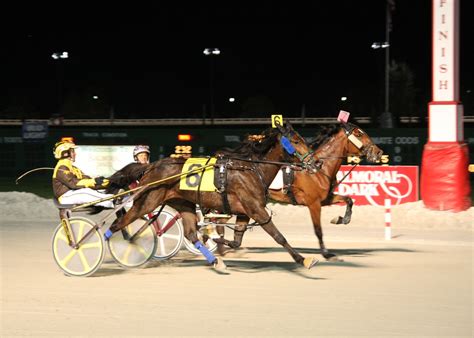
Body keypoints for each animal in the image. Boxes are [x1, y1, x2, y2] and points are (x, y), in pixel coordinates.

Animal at [106, 123, 322, 270]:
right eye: (296, 141)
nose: (317, 163)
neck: (251, 169)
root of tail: (151, 166)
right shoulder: (256, 210)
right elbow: (279, 236)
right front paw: (304, 259)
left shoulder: (245, 211)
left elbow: (236, 240)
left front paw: (216, 240)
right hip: (146, 202)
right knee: (118, 224)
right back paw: (116, 244)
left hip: (183, 204)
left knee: (191, 234)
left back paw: (215, 260)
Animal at [217, 122, 384, 262]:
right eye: (359, 134)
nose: (378, 152)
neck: (318, 169)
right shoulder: (313, 203)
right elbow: (318, 231)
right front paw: (326, 253)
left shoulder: (325, 199)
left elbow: (348, 199)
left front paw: (341, 219)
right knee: (219, 221)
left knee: (220, 221)